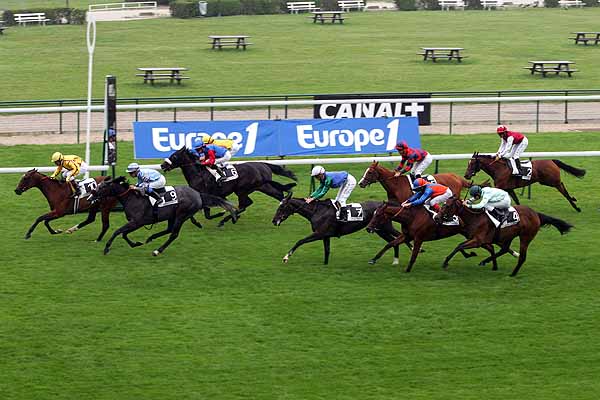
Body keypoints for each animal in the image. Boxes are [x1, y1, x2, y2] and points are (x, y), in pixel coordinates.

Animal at [161, 148, 296, 228]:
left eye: (174, 156)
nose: (163, 165)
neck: (198, 174)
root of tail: (263, 164)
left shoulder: (204, 196)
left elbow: (206, 214)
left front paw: (220, 214)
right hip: (262, 186)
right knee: (278, 194)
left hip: (242, 190)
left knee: (246, 204)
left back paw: (226, 220)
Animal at [270, 194, 404, 266]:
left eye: (281, 207)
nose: (274, 220)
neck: (316, 211)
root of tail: (386, 205)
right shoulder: (326, 235)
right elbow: (327, 250)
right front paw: (325, 264)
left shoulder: (319, 233)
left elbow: (300, 241)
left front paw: (286, 257)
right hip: (379, 229)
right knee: (393, 241)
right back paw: (395, 260)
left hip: (385, 227)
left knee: (398, 237)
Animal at [438, 196, 576, 276]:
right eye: (444, 203)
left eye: (447, 205)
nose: (438, 217)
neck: (475, 217)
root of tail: (536, 214)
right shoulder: (478, 240)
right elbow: (462, 246)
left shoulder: (478, 240)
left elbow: (459, 246)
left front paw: (445, 262)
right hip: (509, 235)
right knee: (504, 249)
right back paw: (485, 261)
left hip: (525, 237)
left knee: (522, 257)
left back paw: (513, 273)